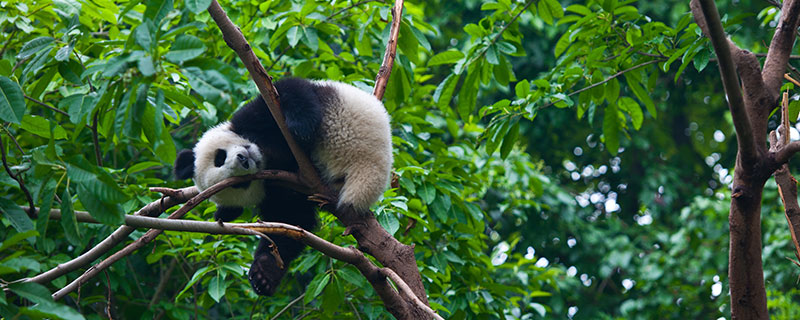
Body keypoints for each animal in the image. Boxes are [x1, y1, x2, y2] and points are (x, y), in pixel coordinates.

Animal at [173, 77, 392, 296]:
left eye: (219, 157)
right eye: (239, 184)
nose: (244, 160)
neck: (268, 155)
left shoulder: (254, 118)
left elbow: (287, 91)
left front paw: (300, 128)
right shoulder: (278, 191)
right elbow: (290, 221)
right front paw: (263, 274)